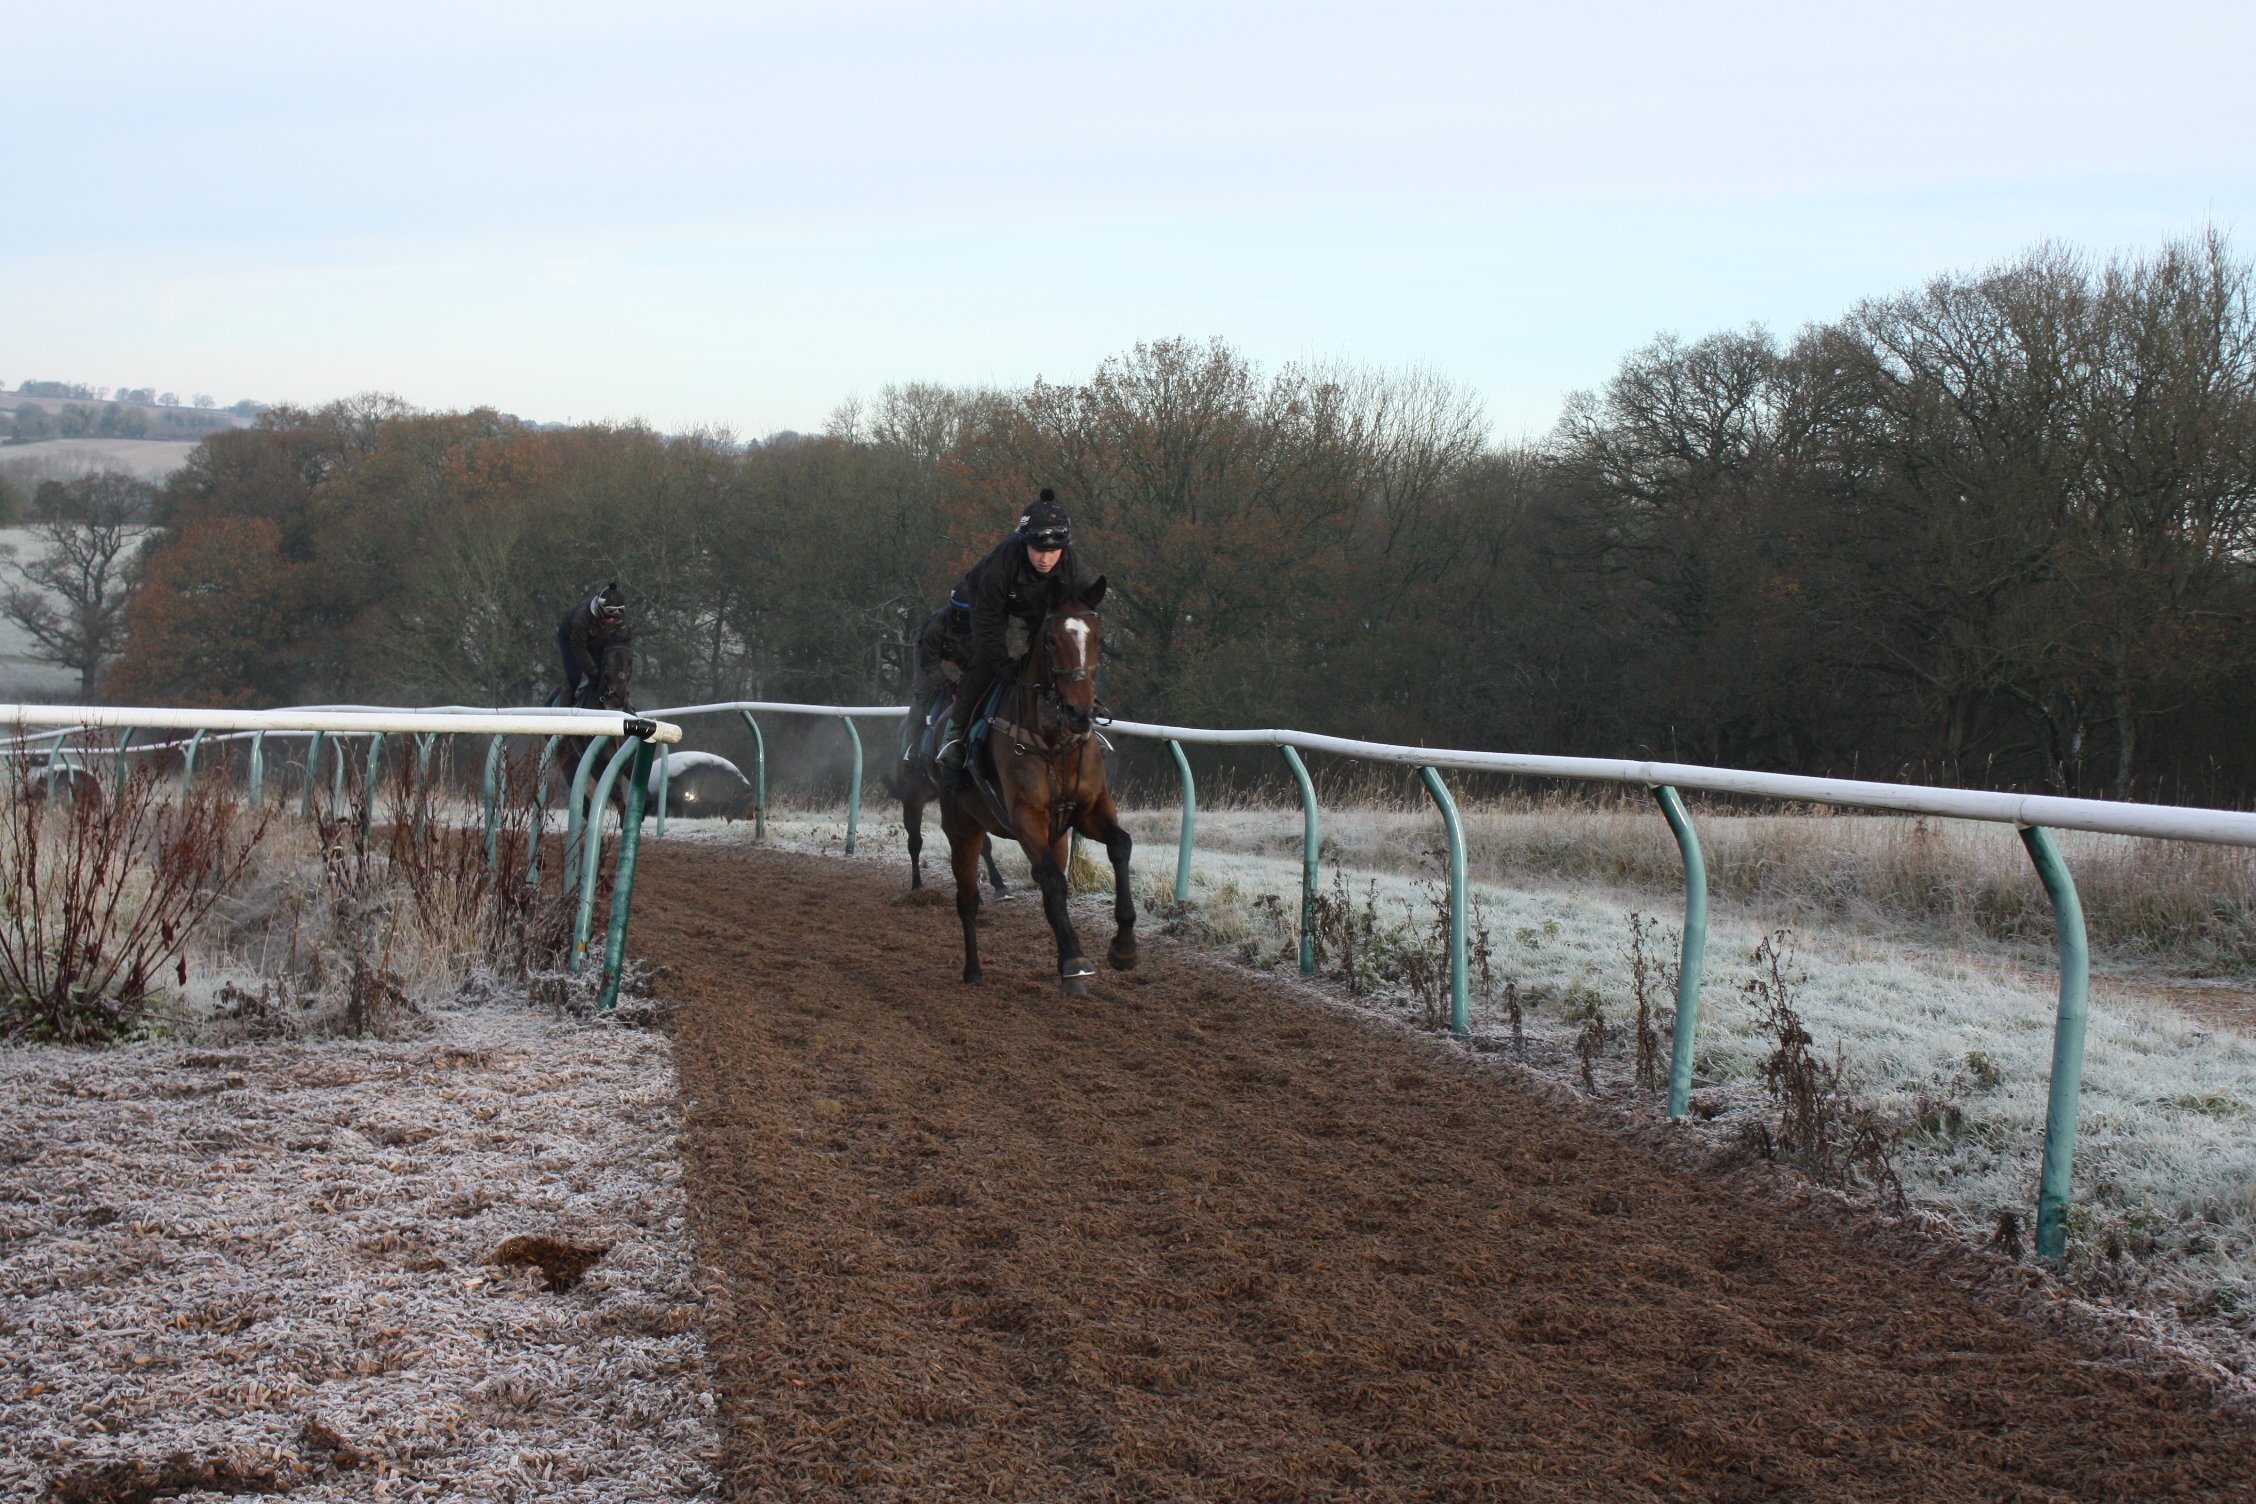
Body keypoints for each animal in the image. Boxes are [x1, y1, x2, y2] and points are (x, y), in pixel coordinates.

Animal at [938, 577, 1137, 1001]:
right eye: (1050, 640)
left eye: (1099, 637)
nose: (1081, 711)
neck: (1053, 739)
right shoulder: (1026, 816)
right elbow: (1050, 878)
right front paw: (1076, 958)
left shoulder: (1090, 809)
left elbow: (1119, 845)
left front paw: (1124, 946)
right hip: (962, 827)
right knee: (968, 899)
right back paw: (973, 969)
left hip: (1055, 834)